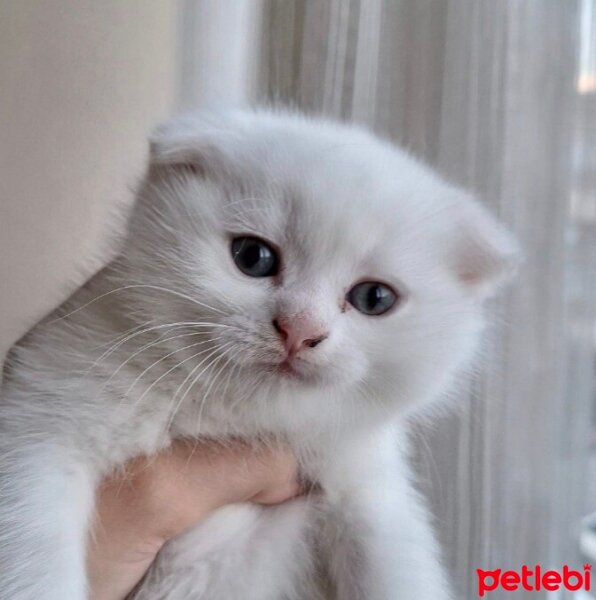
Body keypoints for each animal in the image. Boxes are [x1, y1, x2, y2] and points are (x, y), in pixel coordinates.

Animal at [0, 109, 516, 600]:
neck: (231, 418)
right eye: (253, 257)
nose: (300, 330)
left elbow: (394, 565)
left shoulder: (367, 484)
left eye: (374, 298)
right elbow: (31, 552)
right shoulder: (40, 415)